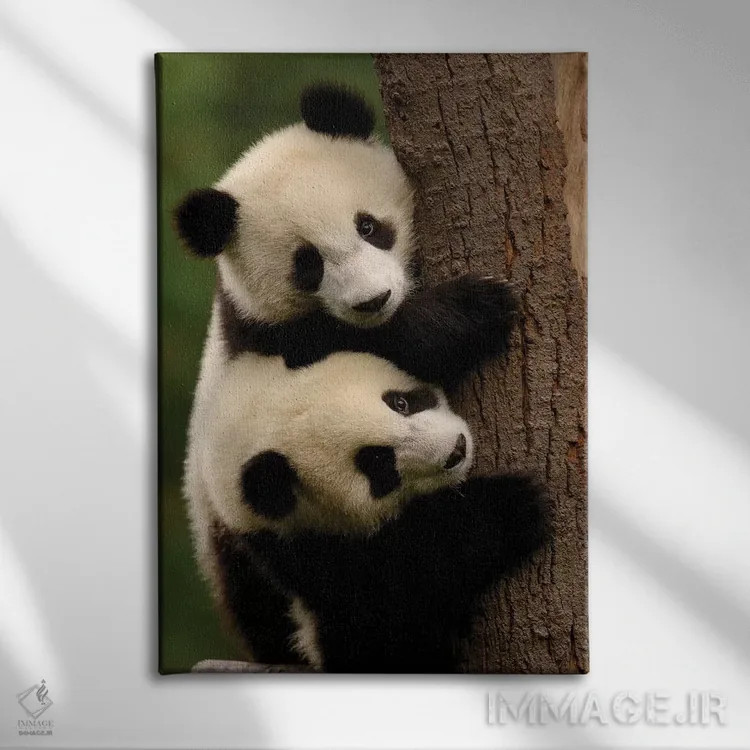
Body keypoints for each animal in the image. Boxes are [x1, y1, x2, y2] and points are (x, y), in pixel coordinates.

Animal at [194, 351, 548, 672]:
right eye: (378, 463)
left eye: (400, 403)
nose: (456, 451)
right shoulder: (301, 553)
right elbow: (387, 605)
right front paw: (509, 507)